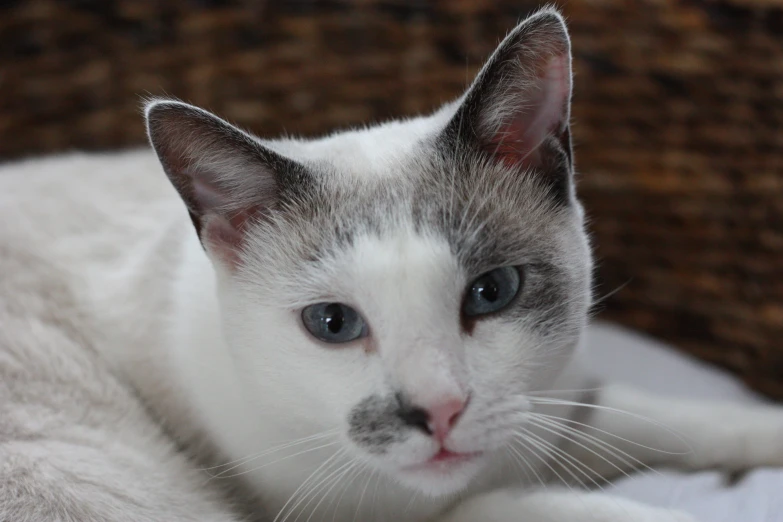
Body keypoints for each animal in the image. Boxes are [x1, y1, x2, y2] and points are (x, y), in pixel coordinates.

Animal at [1, 8, 783, 520]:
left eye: (492, 292)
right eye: (332, 323)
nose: (438, 412)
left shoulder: (554, 410)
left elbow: (680, 420)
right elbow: (568, 508)